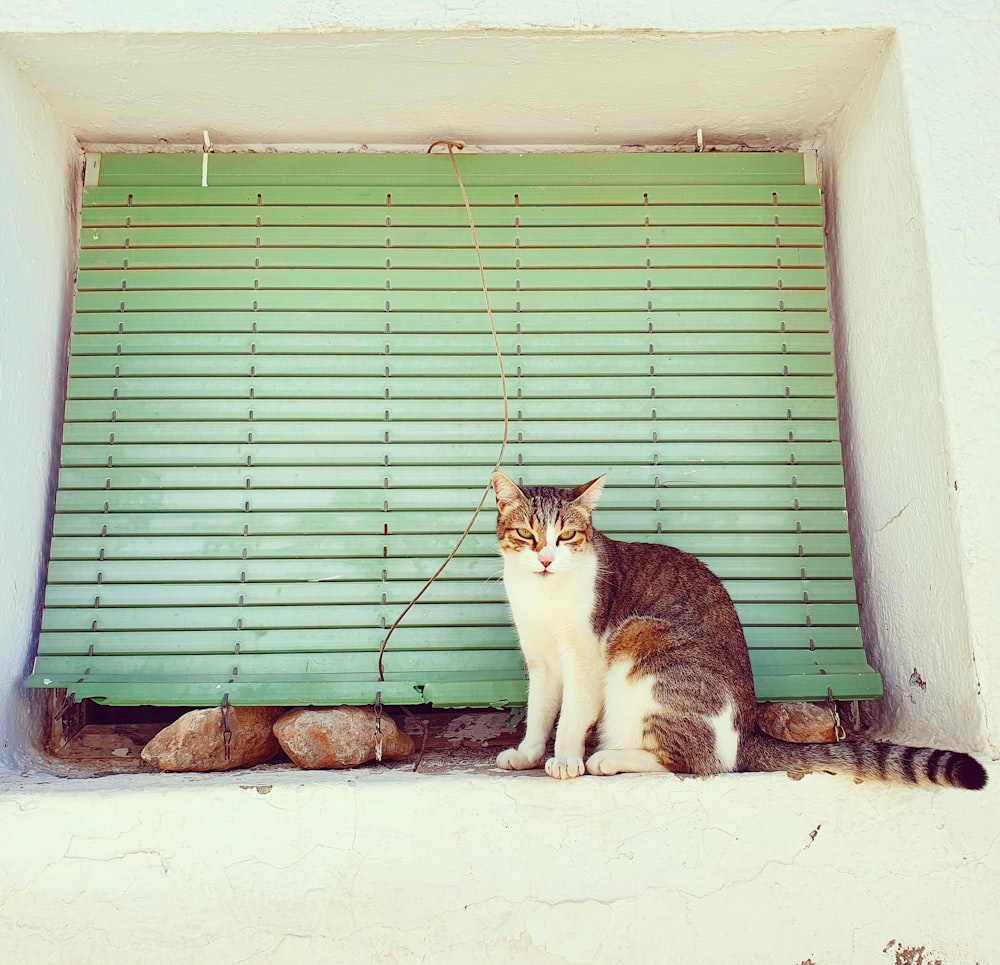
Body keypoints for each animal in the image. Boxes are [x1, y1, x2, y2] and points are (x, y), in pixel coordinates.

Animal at [488, 470, 988, 788]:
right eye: (528, 535)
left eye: (566, 536)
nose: (546, 559)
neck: (544, 598)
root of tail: (746, 730)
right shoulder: (541, 661)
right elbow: (539, 712)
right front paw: (529, 754)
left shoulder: (586, 660)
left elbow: (571, 715)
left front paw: (565, 759)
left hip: (643, 640)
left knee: (701, 762)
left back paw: (607, 758)